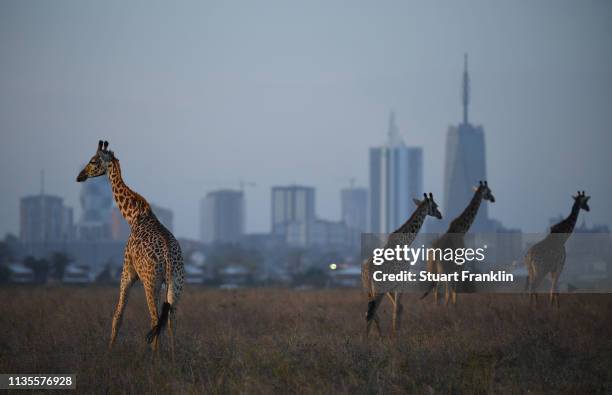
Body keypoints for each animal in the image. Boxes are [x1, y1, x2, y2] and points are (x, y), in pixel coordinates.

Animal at [75, 141, 184, 358]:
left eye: (93, 160)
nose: (80, 176)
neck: (134, 216)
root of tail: (169, 257)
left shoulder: (127, 271)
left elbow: (118, 315)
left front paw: (109, 351)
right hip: (175, 284)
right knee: (170, 320)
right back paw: (174, 357)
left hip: (151, 282)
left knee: (155, 318)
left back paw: (155, 357)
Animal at [360, 192, 442, 338]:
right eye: (435, 205)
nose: (440, 215)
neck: (406, 241)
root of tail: (366, 274)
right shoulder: (402, 280)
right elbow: (398, 308)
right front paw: (396, 335)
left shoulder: (392, 286)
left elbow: (399, 307)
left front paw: (395, 333)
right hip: (378, 289)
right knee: (371, 312)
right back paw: (367, 340)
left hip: (368, 290)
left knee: (371, 313)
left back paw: (377, 337)